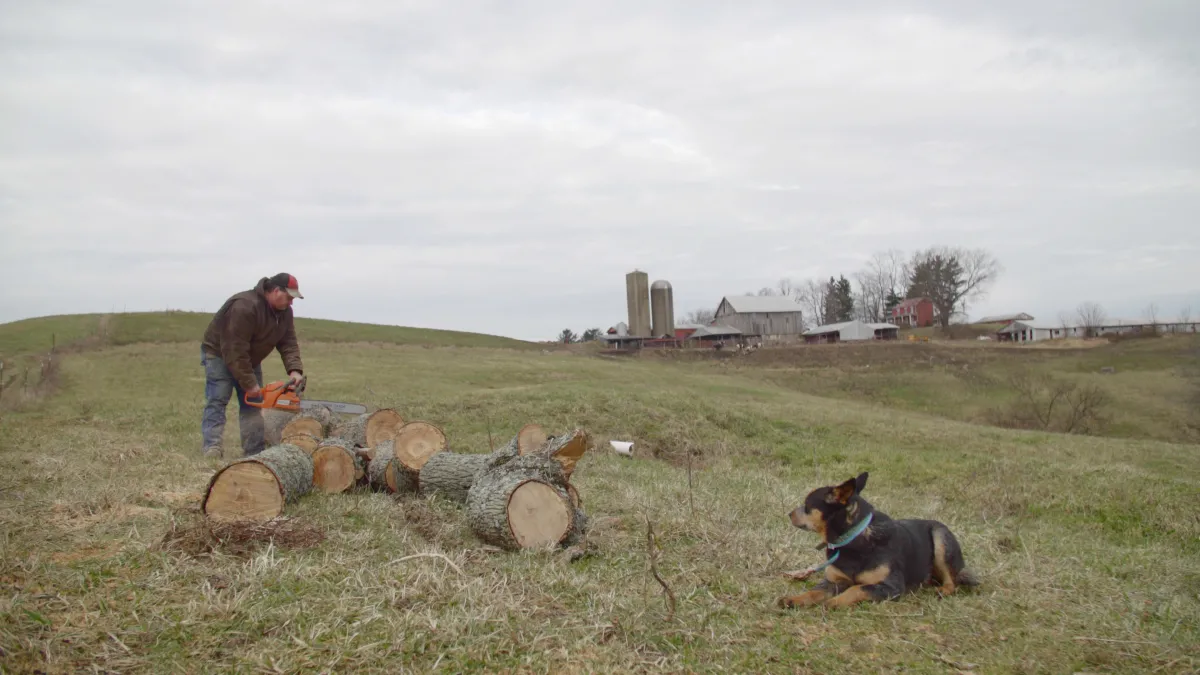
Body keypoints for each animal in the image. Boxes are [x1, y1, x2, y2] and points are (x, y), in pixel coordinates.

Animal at [777, 468, 974, 610]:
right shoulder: (835, 581)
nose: (789, 513)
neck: (853, 538)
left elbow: (857, 588)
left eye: (807, 505)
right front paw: (794, 599)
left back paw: (942, 590)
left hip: (941, 538)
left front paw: (835, 602)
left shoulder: (891, 586)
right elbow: (813, 592)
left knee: (952, 582)